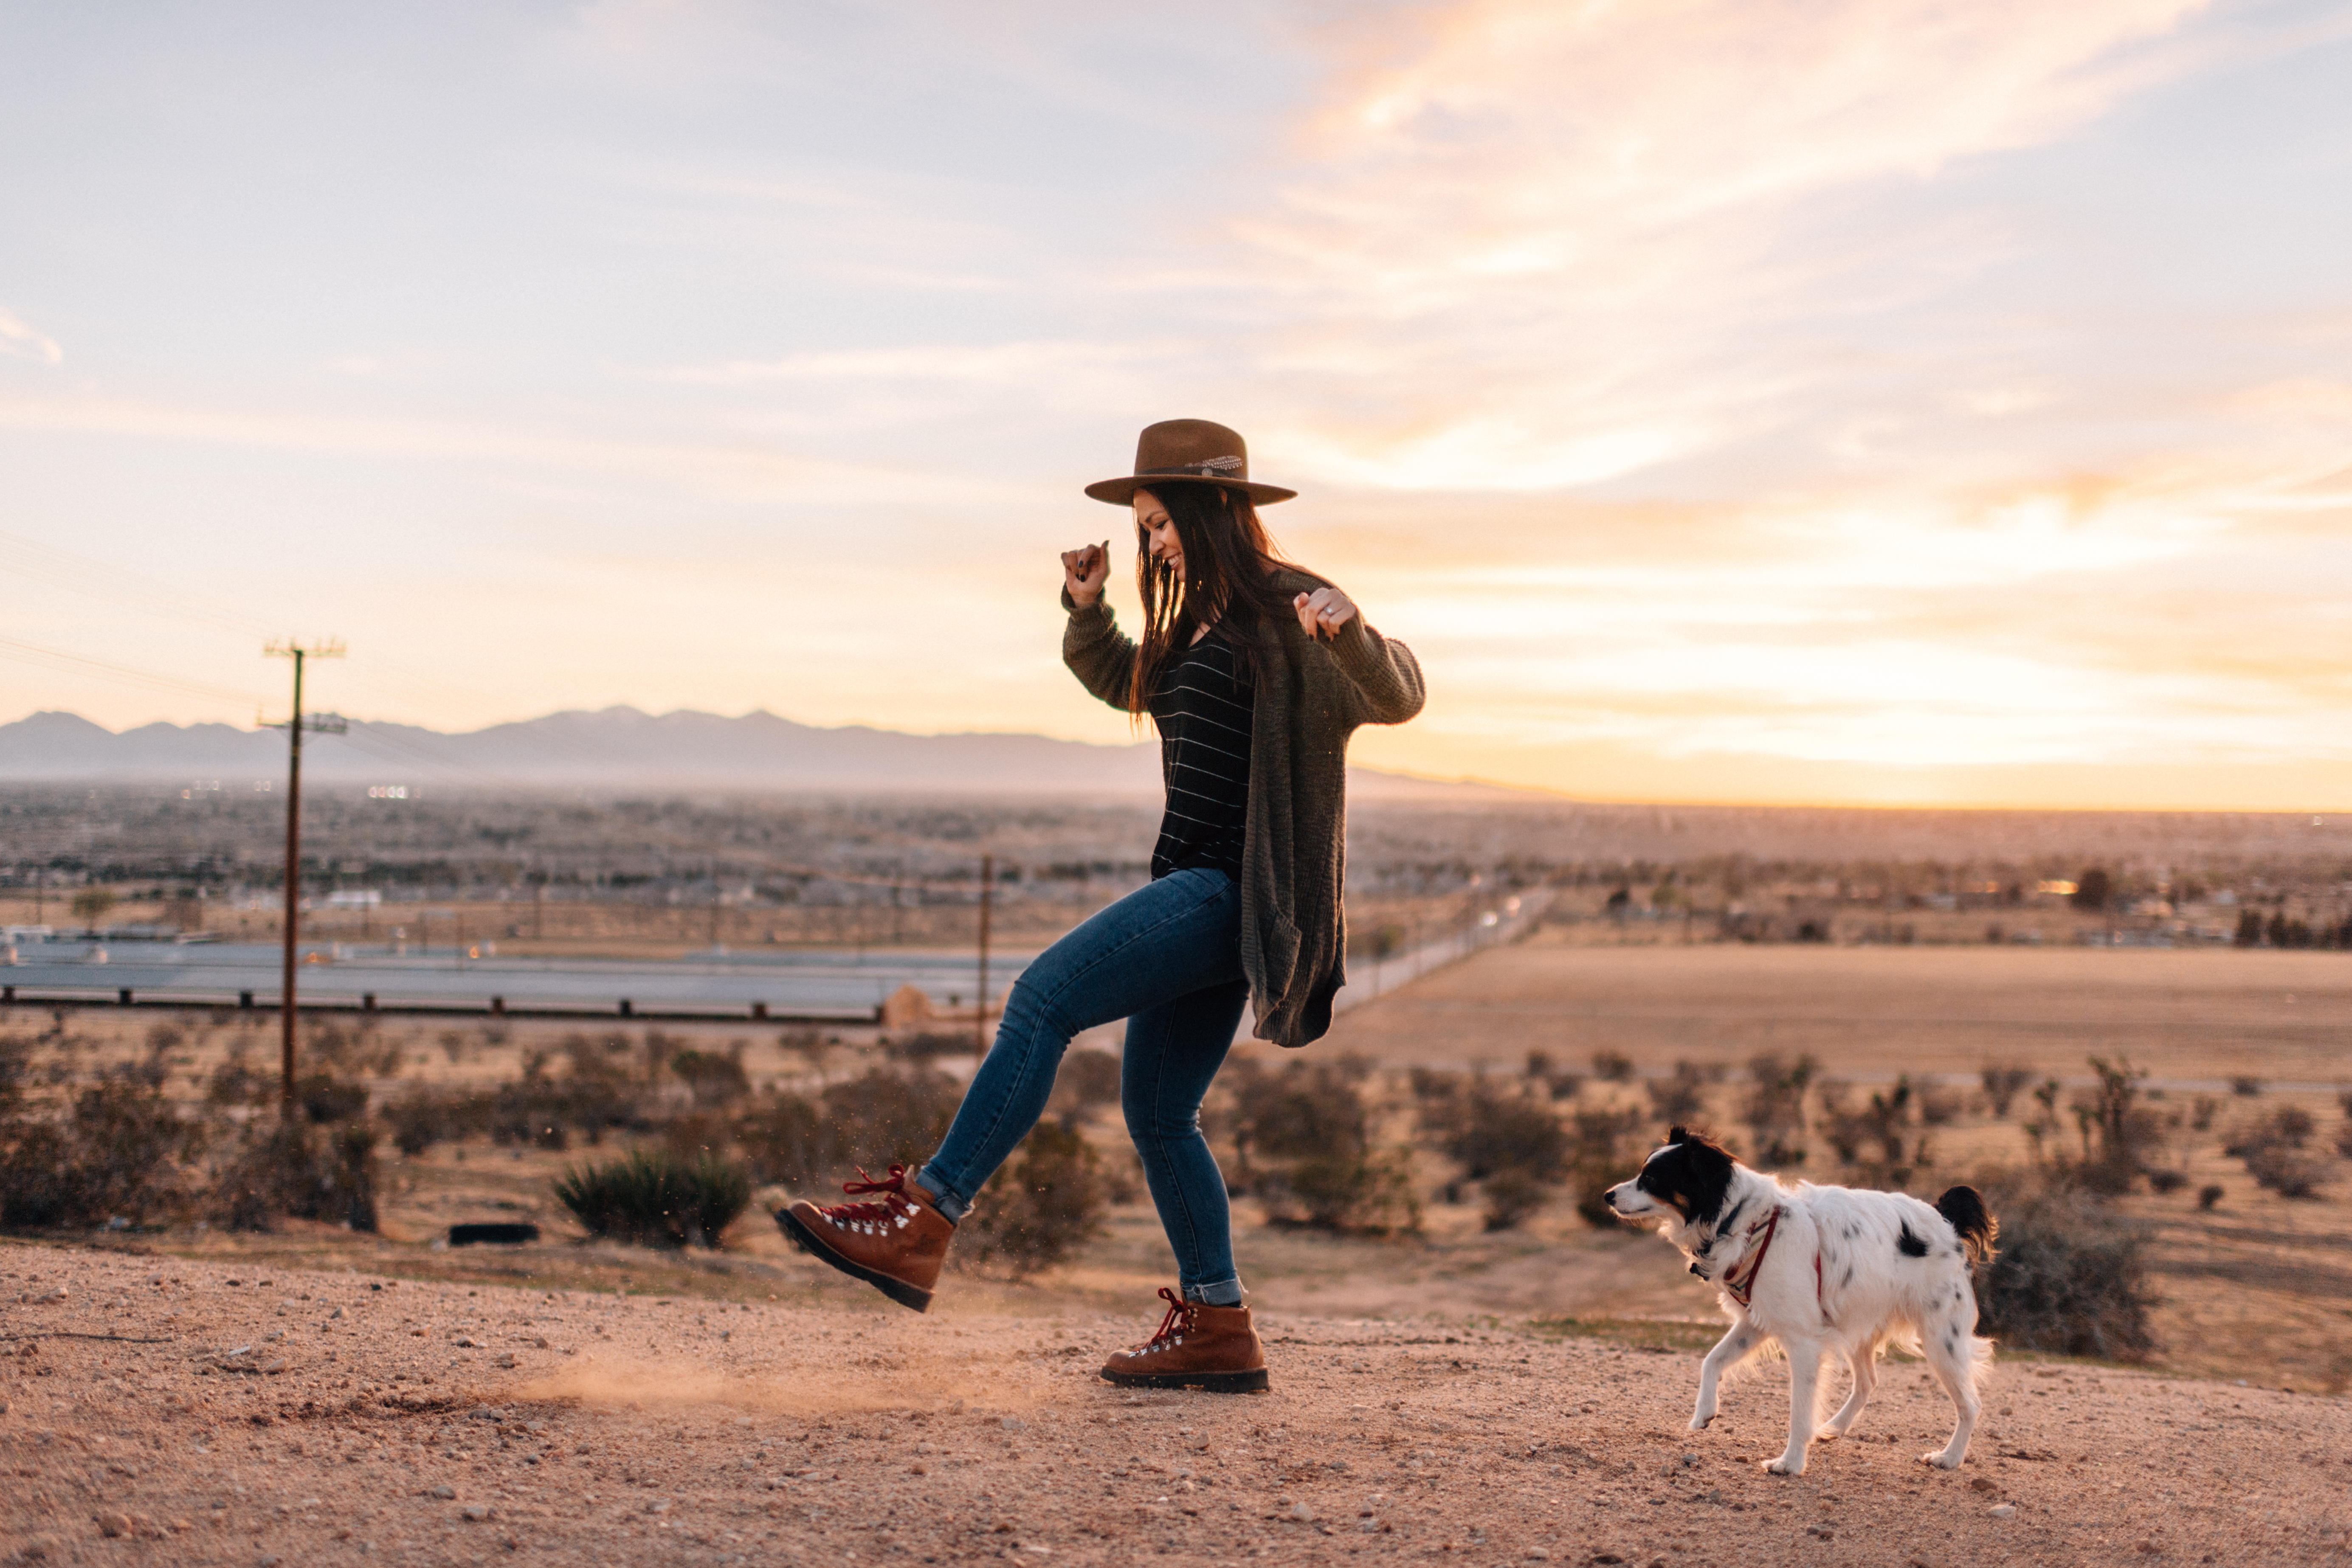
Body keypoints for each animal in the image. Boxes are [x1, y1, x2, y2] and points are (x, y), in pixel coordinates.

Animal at [1618, 1128, 2004, 1476]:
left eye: (1650, 1177)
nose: (1608, 1195)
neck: (1743, 1221)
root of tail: (1946, 1220)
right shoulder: (1756, 1321)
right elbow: (1711, 1360)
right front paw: (1704, 1412)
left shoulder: (1803, 1340)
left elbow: (1799, 1410)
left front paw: (1789, 1463)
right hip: (1861, 1324)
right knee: (1868, 1382)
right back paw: (1833, 1428)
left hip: (1941, 1340)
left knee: (1970, 1404)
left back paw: (1949, 1457)